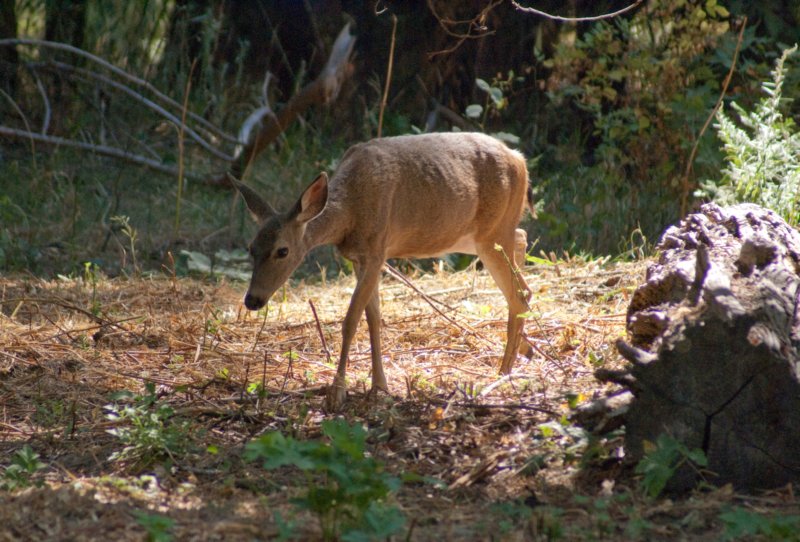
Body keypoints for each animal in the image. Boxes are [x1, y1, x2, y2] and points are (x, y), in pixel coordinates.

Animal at [234, 132, 536, 412]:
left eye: (282, 251)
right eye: (250, 248)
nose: (252, 300)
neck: (350, 213)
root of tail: (520, 159)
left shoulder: (376, 251)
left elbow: (351, 320)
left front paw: (337, 393)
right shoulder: (360, 259)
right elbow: (373, 318)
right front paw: (379, 385)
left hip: (491, 231)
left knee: (520, 290)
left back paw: (503, 372)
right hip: (472, 235)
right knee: (522, 242)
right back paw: (525, 348)